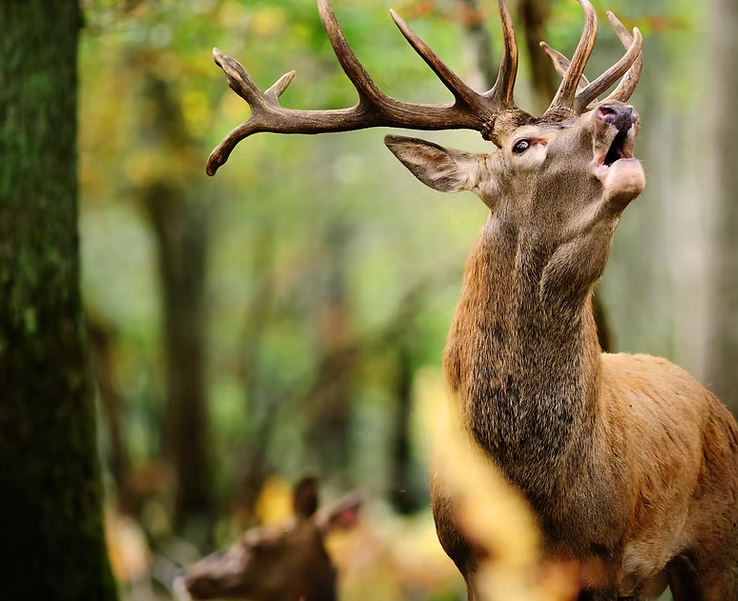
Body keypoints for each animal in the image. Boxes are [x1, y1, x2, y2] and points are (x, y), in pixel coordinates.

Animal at [205, 1, 738, 599]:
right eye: (523, 144)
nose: (617, 109)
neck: (530, 486)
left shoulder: (604, 557)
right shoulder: (469, 561)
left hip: (717, 546)